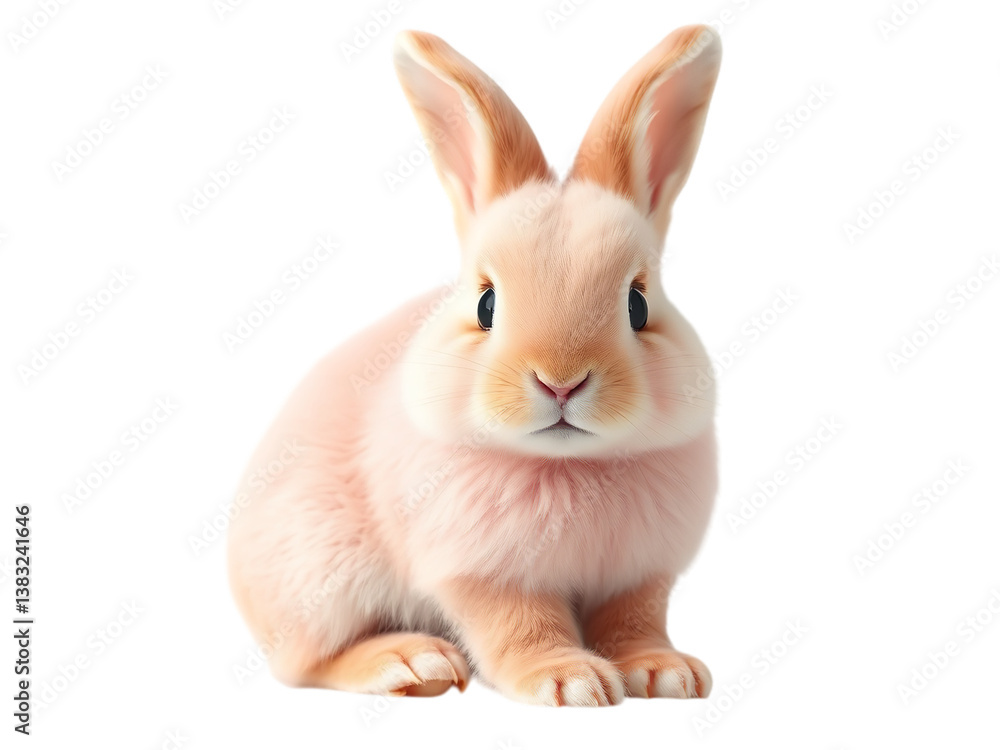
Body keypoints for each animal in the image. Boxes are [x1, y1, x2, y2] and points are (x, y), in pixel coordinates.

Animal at [228, 24, 722, 706]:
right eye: (486, 304)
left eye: (638, 304)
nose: (560, 380)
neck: (567, 464)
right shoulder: (484, 574)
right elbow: (520, 625)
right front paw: (570, 681)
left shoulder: (639, 574)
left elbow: (635, 621)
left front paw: (664, 672)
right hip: (324, 574)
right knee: (308, 662)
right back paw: (411, 664)